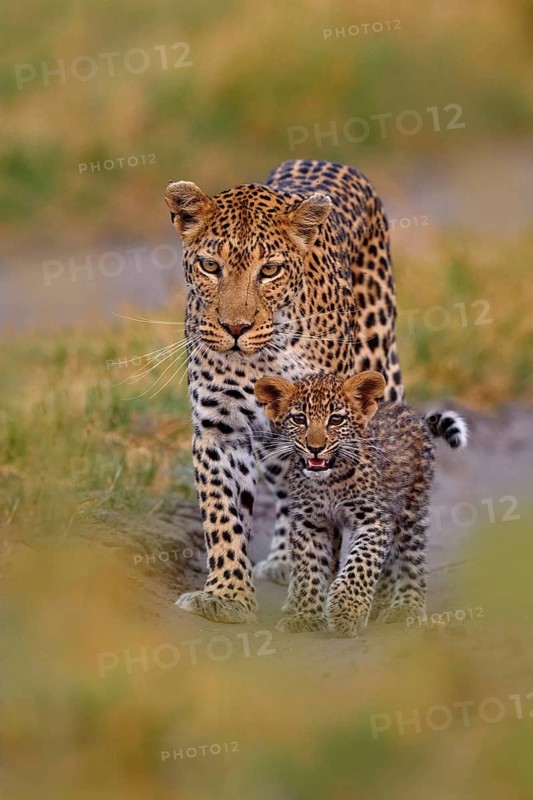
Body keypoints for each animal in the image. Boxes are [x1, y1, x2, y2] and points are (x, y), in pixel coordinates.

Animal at [165, 159, 404, 624]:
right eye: (210, 266)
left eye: (270, 270)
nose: (235, 328)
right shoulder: (221, 430)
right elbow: (222, 515)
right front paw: (227, 595)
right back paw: (282, 559)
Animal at [254, 370, 468, 637]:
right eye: (299, 419)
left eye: (336, 420)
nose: (315, 448)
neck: (329, 481)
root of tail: (413, 415)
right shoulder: (310, 522)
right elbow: (308, 568)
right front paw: (306, 616)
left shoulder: (373, 520)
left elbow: (360, 564)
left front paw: (346, 612)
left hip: (410, 510)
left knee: (411, 556)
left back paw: (405, 606)